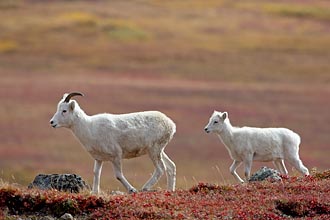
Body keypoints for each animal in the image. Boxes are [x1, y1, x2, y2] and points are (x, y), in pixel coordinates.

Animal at [49, 92, 177, 193]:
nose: (52, 122)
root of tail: (171, 124)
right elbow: (96, 173)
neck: (90, 128)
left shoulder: (116, 156)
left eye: (64, 110)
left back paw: (144, 188)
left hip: (154, 151)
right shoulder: (99, 159)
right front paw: (94, 192)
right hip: (159, 151)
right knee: (171, 167)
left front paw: (132, 190)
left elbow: (118, 175)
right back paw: (170, 190)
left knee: (160, 169)